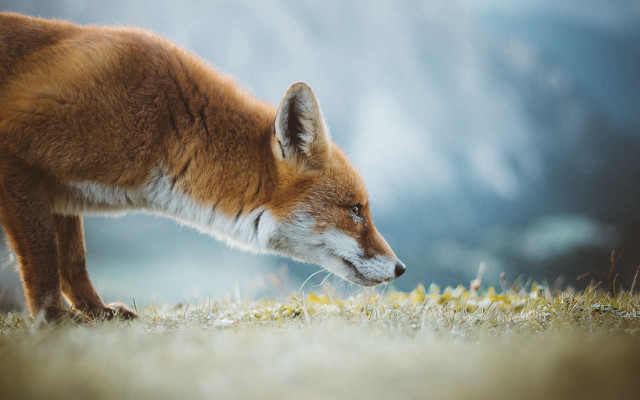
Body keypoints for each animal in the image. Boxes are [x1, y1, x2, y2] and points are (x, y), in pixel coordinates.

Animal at [0, 13, 405, 322]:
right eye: (355, 210)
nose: (401, 268)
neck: (164, 127)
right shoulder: (17, 149)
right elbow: (45, 257)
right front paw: (54, 321)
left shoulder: (63, 192)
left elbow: (73, 261)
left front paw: (96, 311)